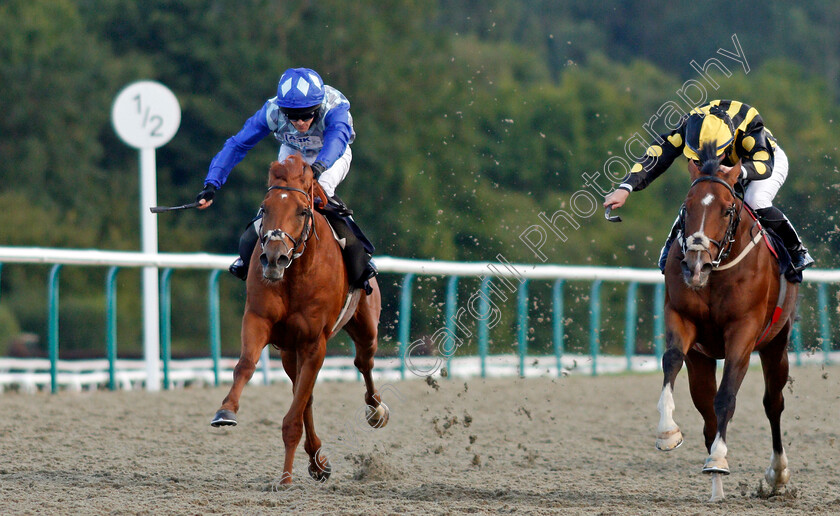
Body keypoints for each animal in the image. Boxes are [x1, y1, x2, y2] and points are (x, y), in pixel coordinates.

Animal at [213, 155, 390, 486]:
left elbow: (294, 415)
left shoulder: (314, 343)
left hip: (365, 326)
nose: (273, 258)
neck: (294, 275)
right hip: (288, 351)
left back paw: (376, 411)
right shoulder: (259, 320)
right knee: (304, 394)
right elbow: (246, 365)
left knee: (364, 362)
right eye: (264, 208)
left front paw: (285, 479)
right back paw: (317, 461)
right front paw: (226, 411)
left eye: (303, 210)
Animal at [652, 141, 796, 500]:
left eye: (728, 209)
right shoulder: (682, 318)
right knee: (706, 412)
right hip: (702, 359)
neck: (715, 273)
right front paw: (667, 432)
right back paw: (717, 491)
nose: (695, 265)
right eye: (685, 207)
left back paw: (777, 474)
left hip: (776, 344)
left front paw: (718, 458)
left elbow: (728, 395)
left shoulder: (743, 331)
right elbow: (671, 361)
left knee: (773, 403)